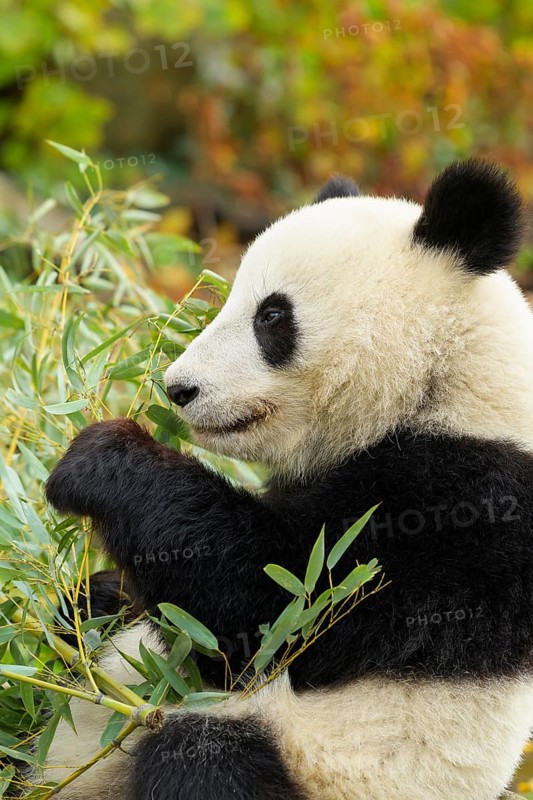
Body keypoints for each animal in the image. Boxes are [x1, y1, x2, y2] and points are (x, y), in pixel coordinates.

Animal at [42, 159, 533, 800]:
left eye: (271, 315)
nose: (178, 388)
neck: (446, 380)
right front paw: (88, 597)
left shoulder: (458, 511)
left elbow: (266, 607)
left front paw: (99, 457)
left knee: (204, 759)